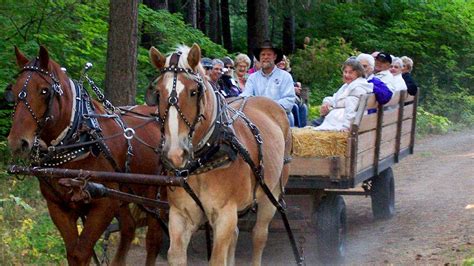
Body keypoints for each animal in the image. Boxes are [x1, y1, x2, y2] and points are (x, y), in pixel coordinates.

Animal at [7, 46, 166, 266]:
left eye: (44, 91)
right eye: (13, 92)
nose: (17, 142)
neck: (78, 140)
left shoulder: (104, 205)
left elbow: (81, 252)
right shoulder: (59, 206)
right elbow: (73, 253)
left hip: (155, 194)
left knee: (154, 239)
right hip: (124, 194)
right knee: (129, 228)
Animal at [149, 44, 292, 266]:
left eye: (193, 92)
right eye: (158, 93)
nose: (176, 153)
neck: (203, 160)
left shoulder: (225, 214)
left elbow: (217, 258)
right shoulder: (180, 215)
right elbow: (175, 255)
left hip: (273, 193)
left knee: (259, 235)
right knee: (236, 235)